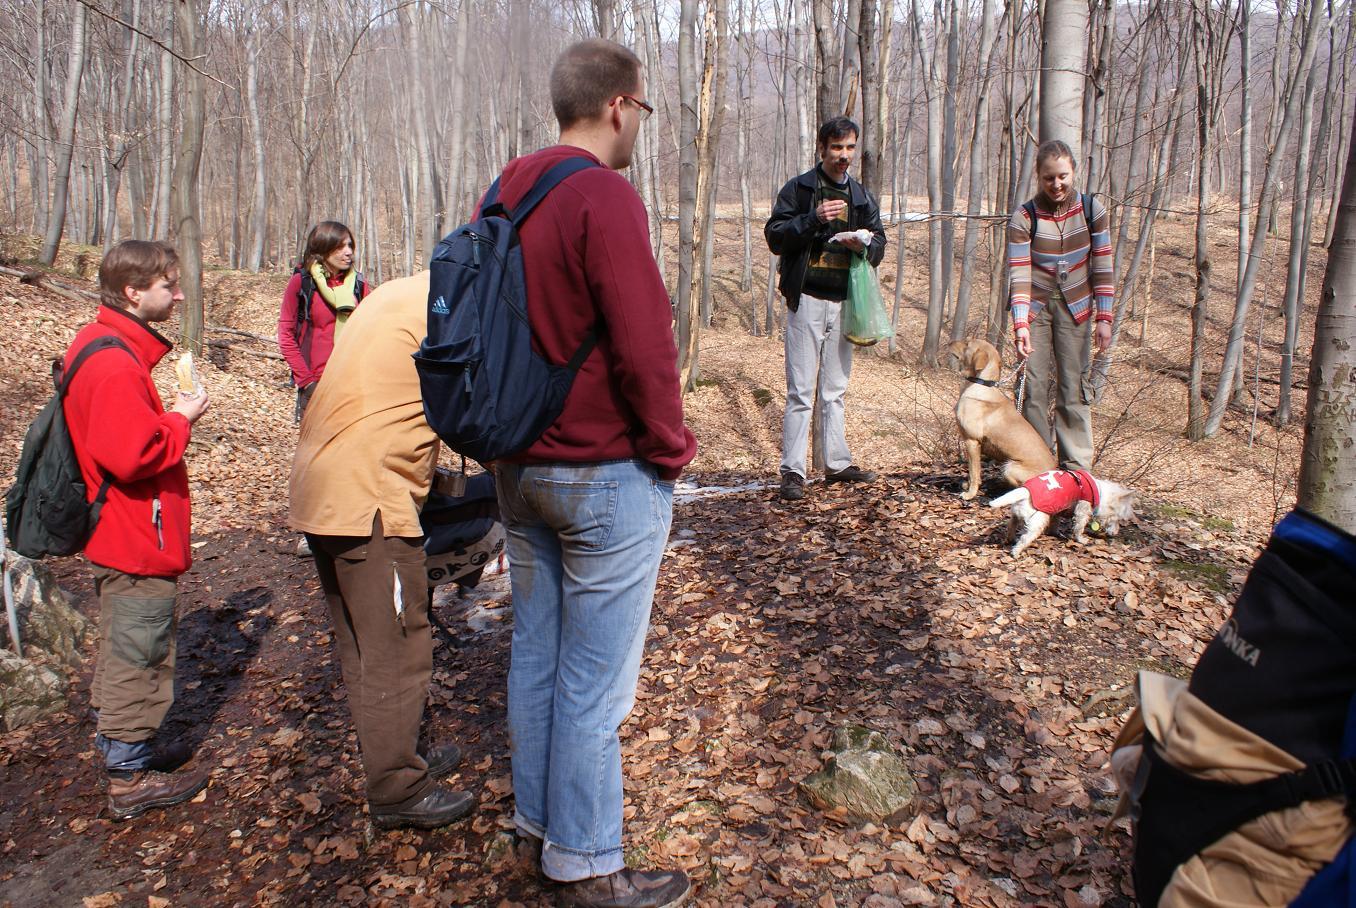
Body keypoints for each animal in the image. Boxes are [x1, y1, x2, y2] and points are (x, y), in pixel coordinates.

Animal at [949, 337, 1052, 501]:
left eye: (967, 344)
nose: (949, 342)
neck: (980, 383)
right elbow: (972, 473)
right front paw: (968, 486)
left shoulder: (972, 441)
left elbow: (973, 472)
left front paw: (970, 494)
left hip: (1010, 467)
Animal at [992, 474, 1139, 558]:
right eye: (1118, 519)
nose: (1115, 534)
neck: (1101, 492)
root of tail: (1025, 492)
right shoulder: (1082, 511)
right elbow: (1079, 528)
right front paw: (1081, 540)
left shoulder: (1057, 509)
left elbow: (1055, 523)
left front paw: (1055, 533)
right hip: (1038, 522)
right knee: (1024, 538)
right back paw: (1016, 552)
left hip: (1016, 515)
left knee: (1011, 526)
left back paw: (1010, 539)